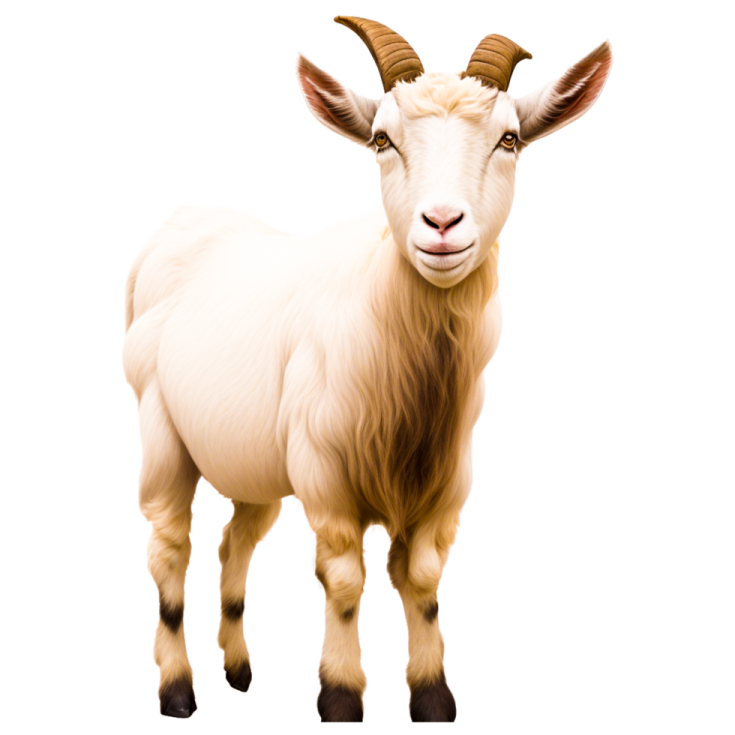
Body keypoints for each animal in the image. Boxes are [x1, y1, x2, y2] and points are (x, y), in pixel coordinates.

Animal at [122, 15, 613, 722]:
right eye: (382, 139)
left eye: (510, 139)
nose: (442, 224)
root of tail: (185, 217)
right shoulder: (324, 473)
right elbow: (344, 578)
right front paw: (340, 695)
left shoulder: (447, 478)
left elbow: (423, 577)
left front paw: (432, 697)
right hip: (161, 430)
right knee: (169, 546)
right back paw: (178, 688)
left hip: (255, 459)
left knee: (235, 538)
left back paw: (239, 670)